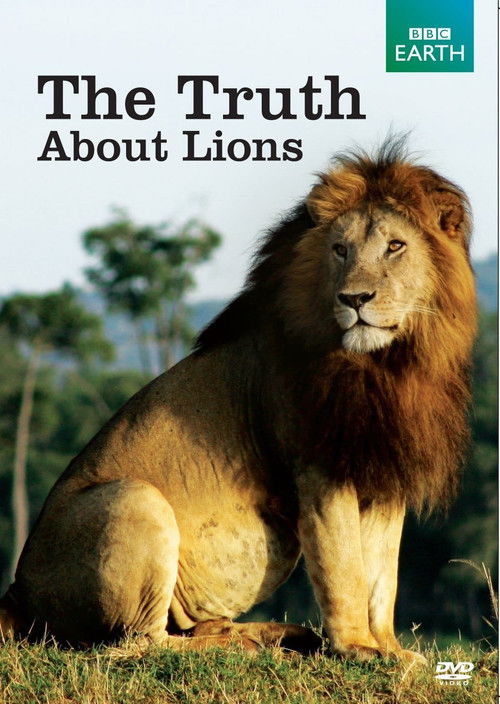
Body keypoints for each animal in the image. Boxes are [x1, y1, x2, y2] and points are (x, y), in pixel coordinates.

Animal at [0, 139, 476, 664]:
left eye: (395, 246)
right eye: (340, 249)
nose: (354, 298)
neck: (387, 365)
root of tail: (17, 594)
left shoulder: (384, 466)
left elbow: (382, 577)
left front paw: (391, 649)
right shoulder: (318, 468)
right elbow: (345, 568)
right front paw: (356, 648)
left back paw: (275, 635)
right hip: (132, 499)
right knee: (139, 645)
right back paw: (258, 648)